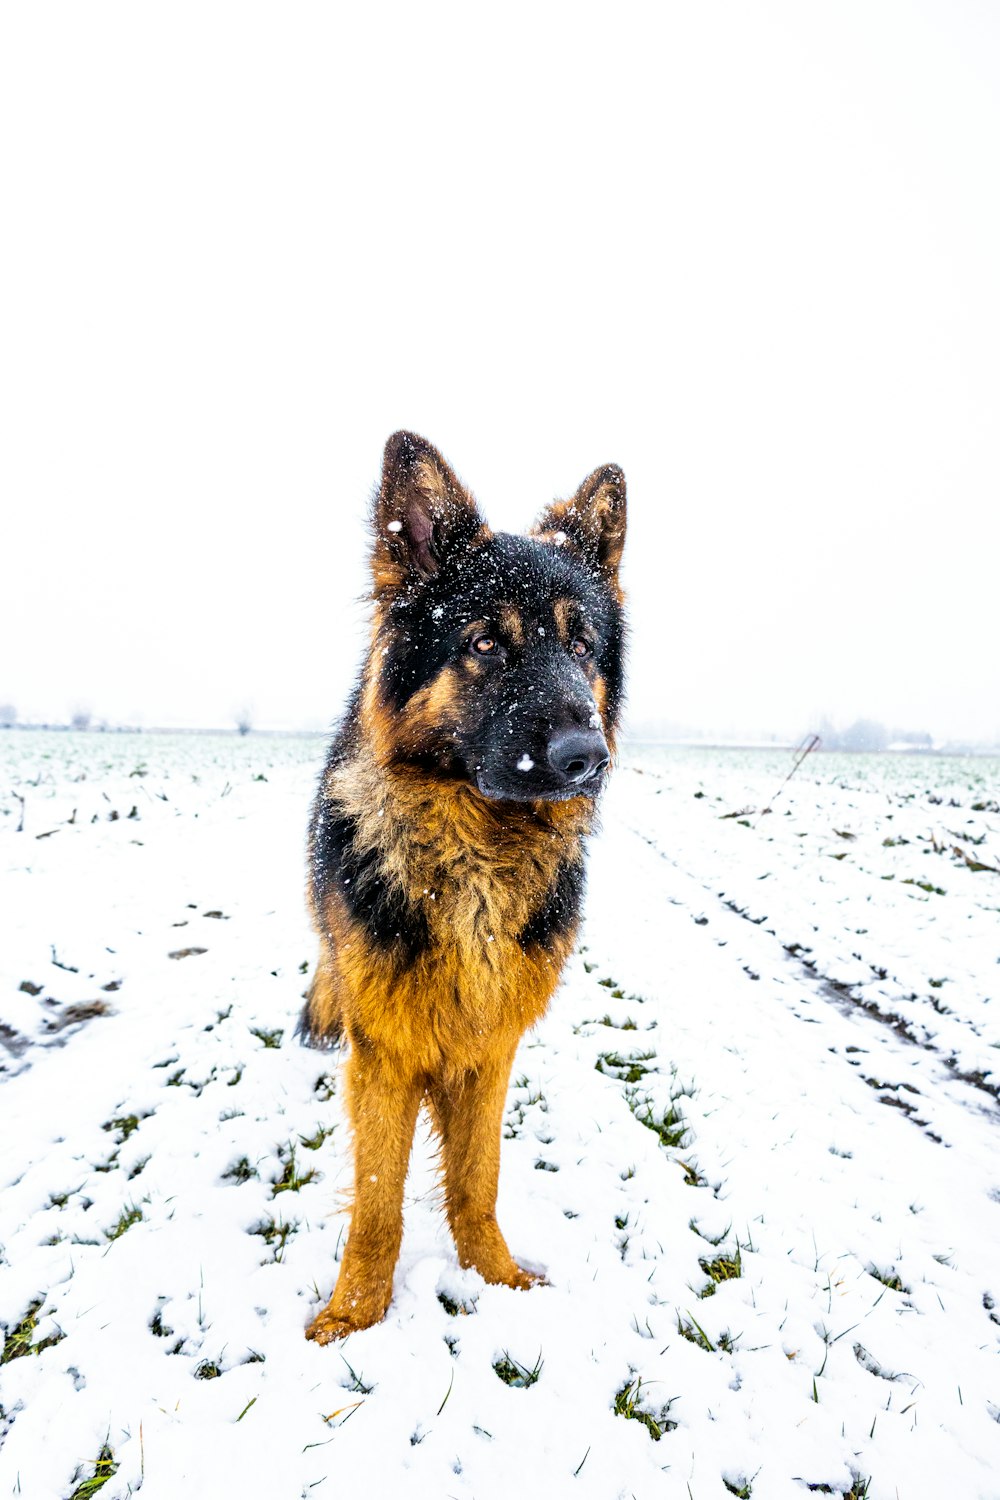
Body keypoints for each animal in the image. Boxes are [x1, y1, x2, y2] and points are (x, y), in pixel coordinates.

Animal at [301, 429, 626, 1344]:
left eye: (581, 646)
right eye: (484, 643)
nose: (587, 759)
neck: (478, 854)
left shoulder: (490, 1045)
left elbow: (477, 1177)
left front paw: (497, 1278)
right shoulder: (386, 1050)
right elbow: (378, 1201)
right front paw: (353, 1317)